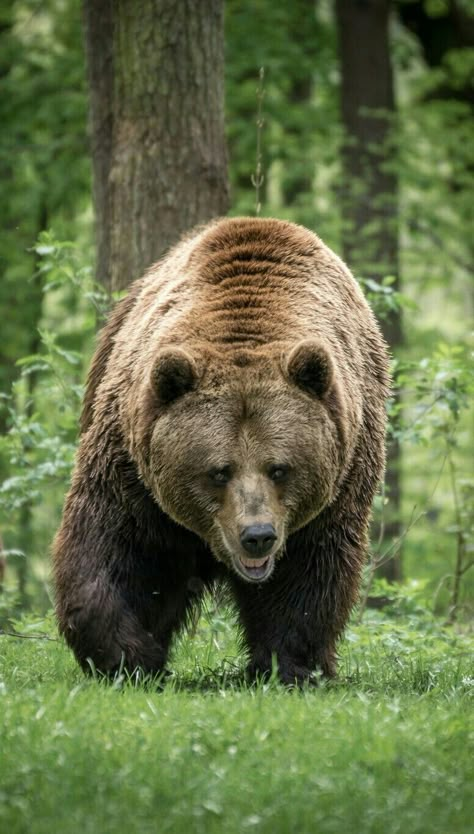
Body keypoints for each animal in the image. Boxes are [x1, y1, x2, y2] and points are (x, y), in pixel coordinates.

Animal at [54, 214, 388, 684]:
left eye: (279, 468)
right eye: (218, 471)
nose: (257, 536)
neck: (246, 330)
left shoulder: (340, 478)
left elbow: (309, 575)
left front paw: (288, 665)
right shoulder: (132, 470)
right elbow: (113, 546)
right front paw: (127, 655)